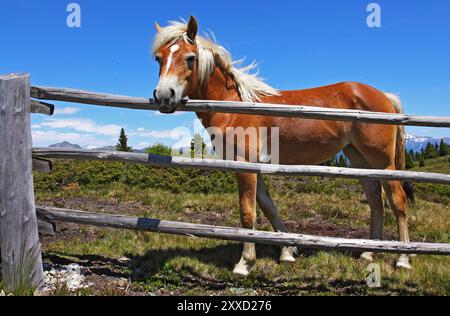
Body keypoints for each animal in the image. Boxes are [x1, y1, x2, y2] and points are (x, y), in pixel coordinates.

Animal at [152, 16, 414, 276]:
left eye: (190, 58)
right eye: (159, 58)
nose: (163, 96)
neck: (235, 106)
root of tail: (383, 95)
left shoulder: (244, 165)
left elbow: (248, 211)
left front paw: (245, 263)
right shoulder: (254, 166)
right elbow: (268, 207)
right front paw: (287, 251)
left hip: (383, 161)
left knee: (397, 202)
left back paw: (402, 258)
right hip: (360, 159)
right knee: (376, 201)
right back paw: (369, 253)